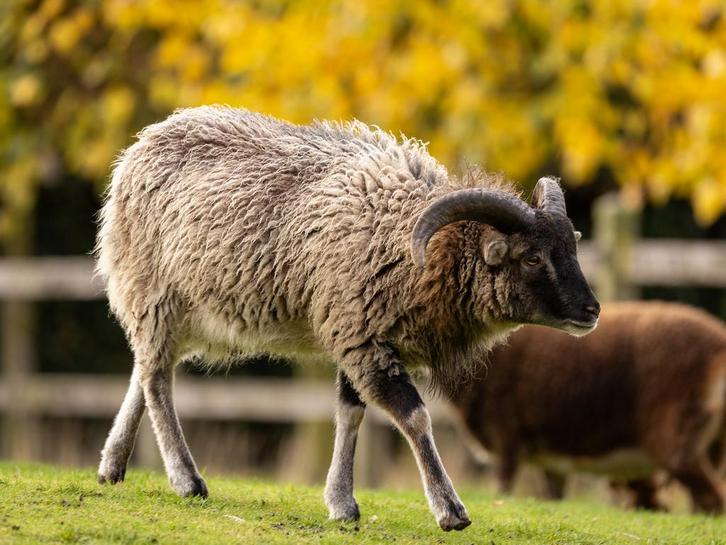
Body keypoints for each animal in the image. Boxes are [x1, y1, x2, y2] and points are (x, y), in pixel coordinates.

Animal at [95, 106, 599, 531]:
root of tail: (142, 144)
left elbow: (350, 413)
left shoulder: (358, 332)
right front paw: (450, 510)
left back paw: (112, 467)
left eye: (571, 247)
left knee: (146, 368)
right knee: (156, 380)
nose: (591, 311)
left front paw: (341, 504)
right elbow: (415, 417)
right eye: (531, 258)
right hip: (155, 291)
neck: (408, 243)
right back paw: (186, 480)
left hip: (187, 313)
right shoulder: (362, 336)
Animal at [450, 301, 726, 513]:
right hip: (711, 444)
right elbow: (553, 496)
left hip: (676, 436)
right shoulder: (551, 458)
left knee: (711, 498)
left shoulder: (507, 433)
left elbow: (502, 488)